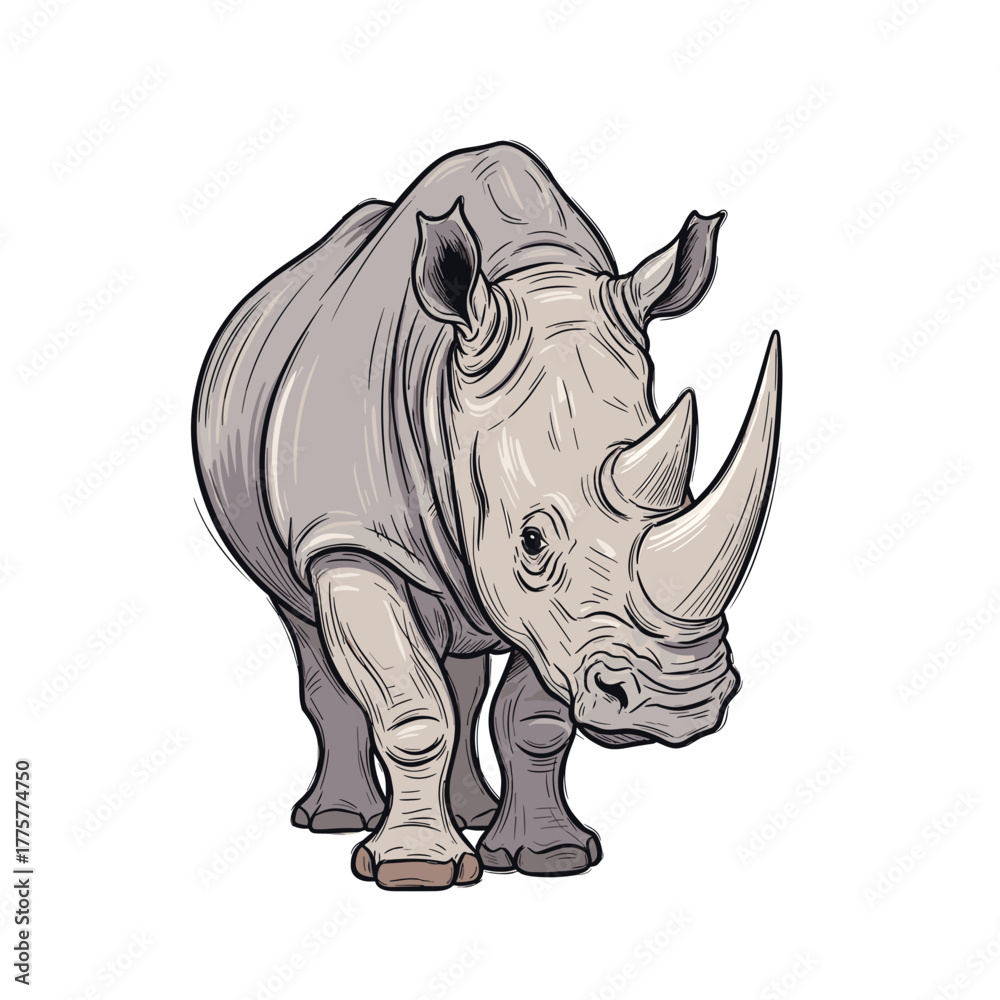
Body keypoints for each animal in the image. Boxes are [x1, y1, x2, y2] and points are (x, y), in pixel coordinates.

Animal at [193, 141, 782, 891]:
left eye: (681, 498)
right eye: (532, 541)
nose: (680, 703)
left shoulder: (556, 617)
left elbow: (532, 716)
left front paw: (550, 859)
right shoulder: (350, 540)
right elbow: (412, 705)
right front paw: (415, 873)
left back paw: (472, 812)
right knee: (304, 625)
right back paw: (334, 820)